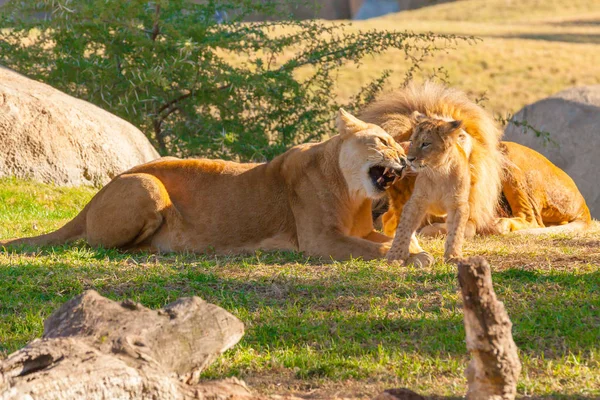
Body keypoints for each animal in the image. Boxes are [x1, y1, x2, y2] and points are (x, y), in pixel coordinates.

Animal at [0, 109, 408, 260]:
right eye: (383, 141)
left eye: (400, 146)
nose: (405, 161)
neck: (353, 193)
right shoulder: (320, 240)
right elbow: (381, 250)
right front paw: (412, 258)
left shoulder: (357, 231)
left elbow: (385, 241)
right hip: (146, 186)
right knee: (98, 243)